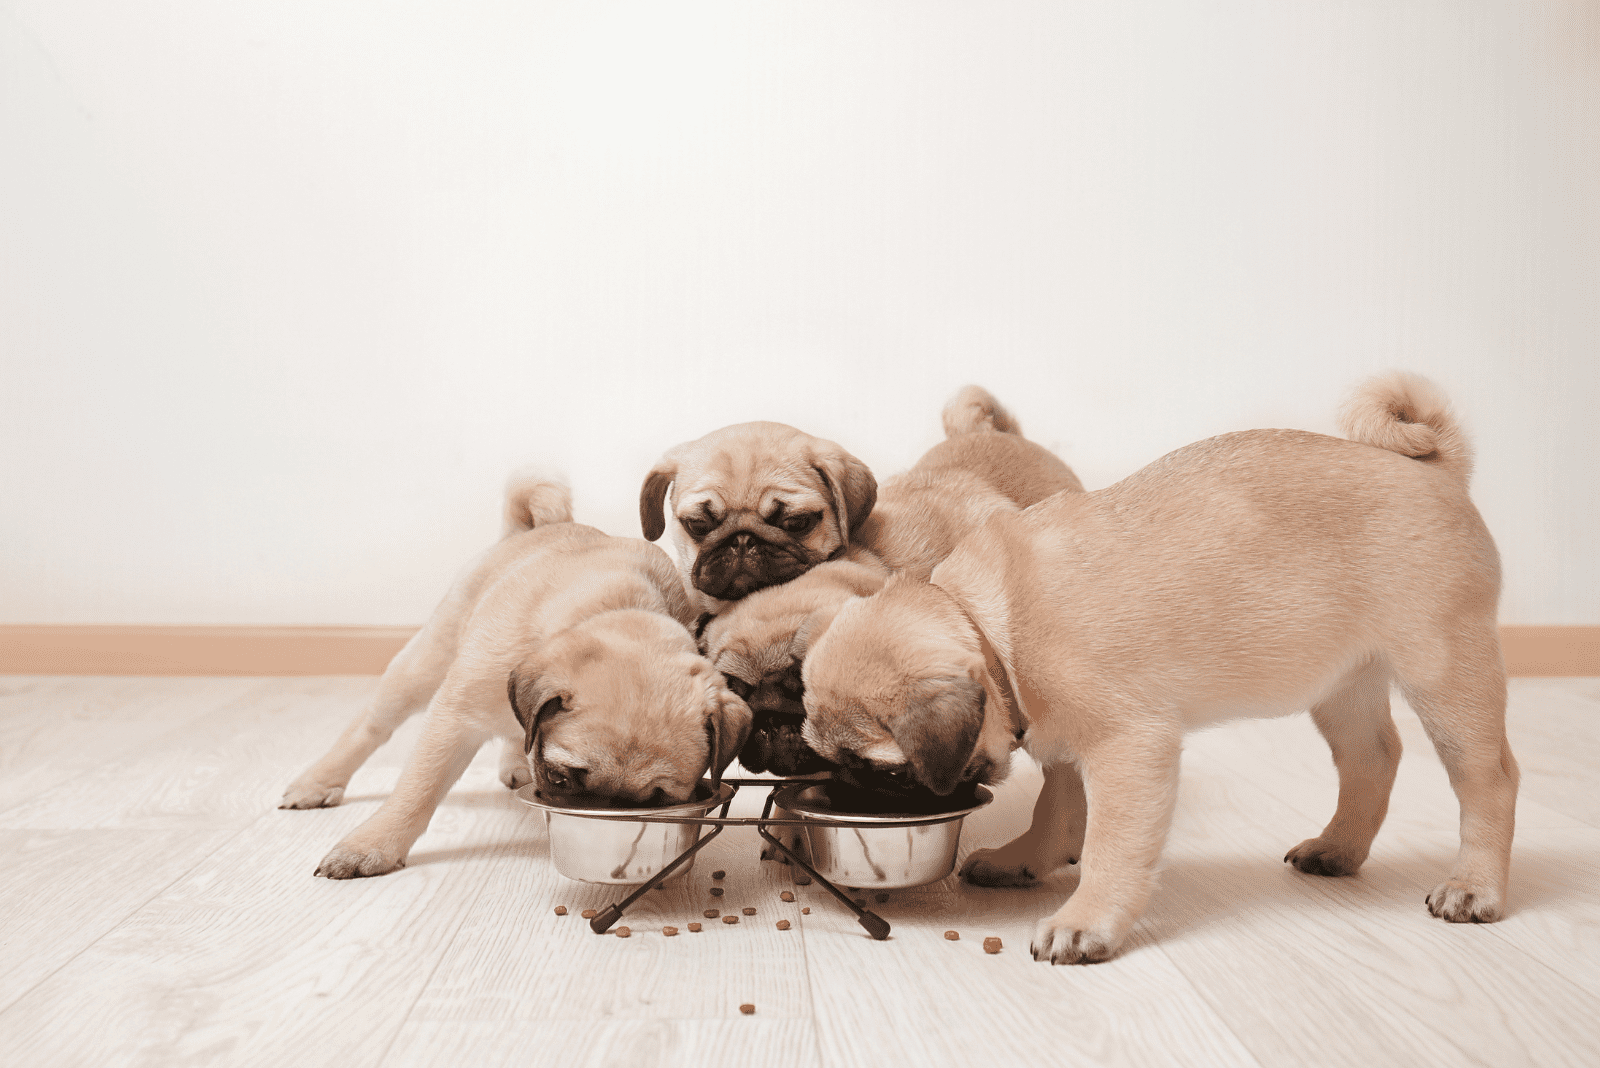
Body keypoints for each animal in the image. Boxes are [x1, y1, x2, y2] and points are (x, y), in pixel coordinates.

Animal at [283, 473, 755, 876]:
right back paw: (317, 783)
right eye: (560, 777)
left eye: (659, 798)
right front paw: (373, 846)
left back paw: (513, 763)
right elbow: (419, 789)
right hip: (425, 664)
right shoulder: (453, 720)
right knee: (371, 726)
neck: (618, 610)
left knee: (515, 729)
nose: (607, 809)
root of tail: (531, 529)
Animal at [806, 378, 1516, 965]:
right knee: (1374, 757)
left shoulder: (1129, 748)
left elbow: (1110, 846)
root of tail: (1435, 469)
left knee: (1489, 778)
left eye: (880, 769)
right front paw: (1028, 860)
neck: (988, 623)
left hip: (1444, 669)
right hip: (1342, 684)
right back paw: (1338, 848)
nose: (843, 786)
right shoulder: (1064, 740)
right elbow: (1056, 807)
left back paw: (1473, 887)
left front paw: (1087, 920)